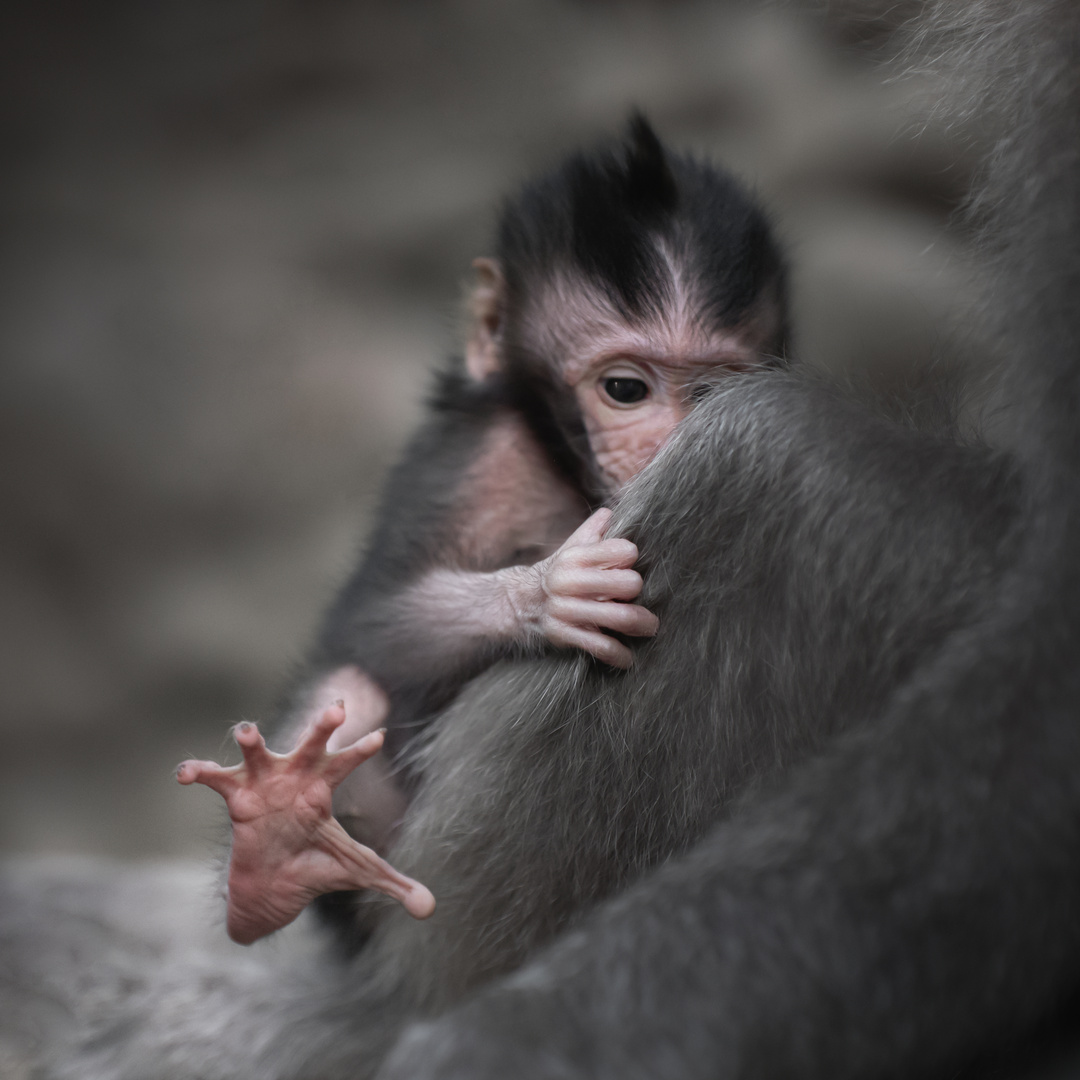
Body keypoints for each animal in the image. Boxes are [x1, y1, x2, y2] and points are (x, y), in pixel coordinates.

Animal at [177, 120, 786, 946]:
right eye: (625, 389)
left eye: (711, 391)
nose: (669, 445)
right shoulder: (483, 458)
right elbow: (373, 619)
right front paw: (547, 594)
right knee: (348, 688)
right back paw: (278, 843)